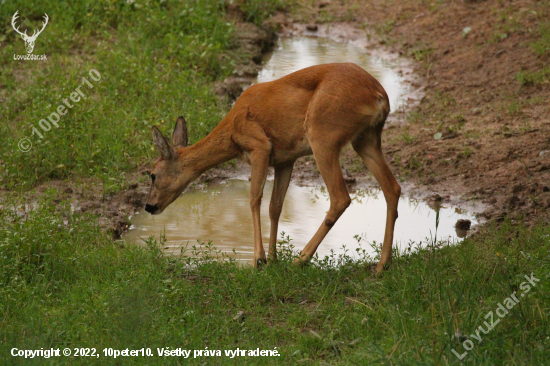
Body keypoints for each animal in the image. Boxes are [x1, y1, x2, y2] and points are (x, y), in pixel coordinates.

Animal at [146, 63, 402, 274]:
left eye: (152, 175)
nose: (149, 206)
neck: (232, 132)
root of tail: (379, 95)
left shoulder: (260, 146)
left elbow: (254, 199)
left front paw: (258, 260)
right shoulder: (284, 160)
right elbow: (275, 206)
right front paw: (272, 258)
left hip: (323, 135)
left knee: (341, 197)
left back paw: (301, 259)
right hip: (366, 138)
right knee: (393, 188)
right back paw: (382, 264)